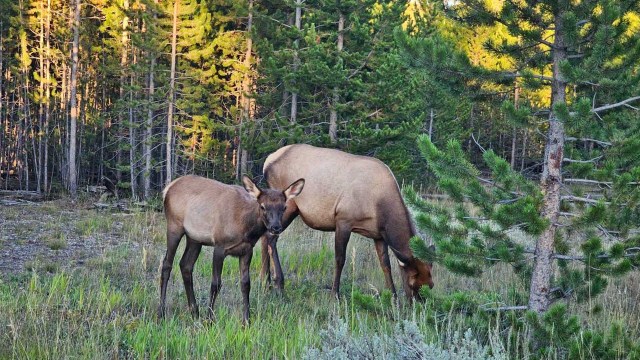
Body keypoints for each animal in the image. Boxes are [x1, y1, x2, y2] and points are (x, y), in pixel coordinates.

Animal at [157, 174, 302, 324]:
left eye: (284, 207)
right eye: (262, 206)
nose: (276, 227)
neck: (246, 229)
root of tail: (168, 188)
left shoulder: (247, 250)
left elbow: (245, 284)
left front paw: (246, 320)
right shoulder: (219, 246)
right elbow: (216, 284)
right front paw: (209, 320)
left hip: (195, 238)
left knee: (185, 265)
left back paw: (195, 312)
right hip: (174, 226)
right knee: (166, 264)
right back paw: (161, 313)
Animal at [260, 145, 436, 300]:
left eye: (431, 285)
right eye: (413, 284)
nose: (418, 305)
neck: (380, 205)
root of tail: (267, 161)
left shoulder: (378, 234)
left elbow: (385, 264)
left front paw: (393, 298)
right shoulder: (343, 220)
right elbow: (340, 259)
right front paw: (334, 294)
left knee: (265, 237)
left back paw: (266, 282)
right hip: (288, 206)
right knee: (270, 238)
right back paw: (278, 283)